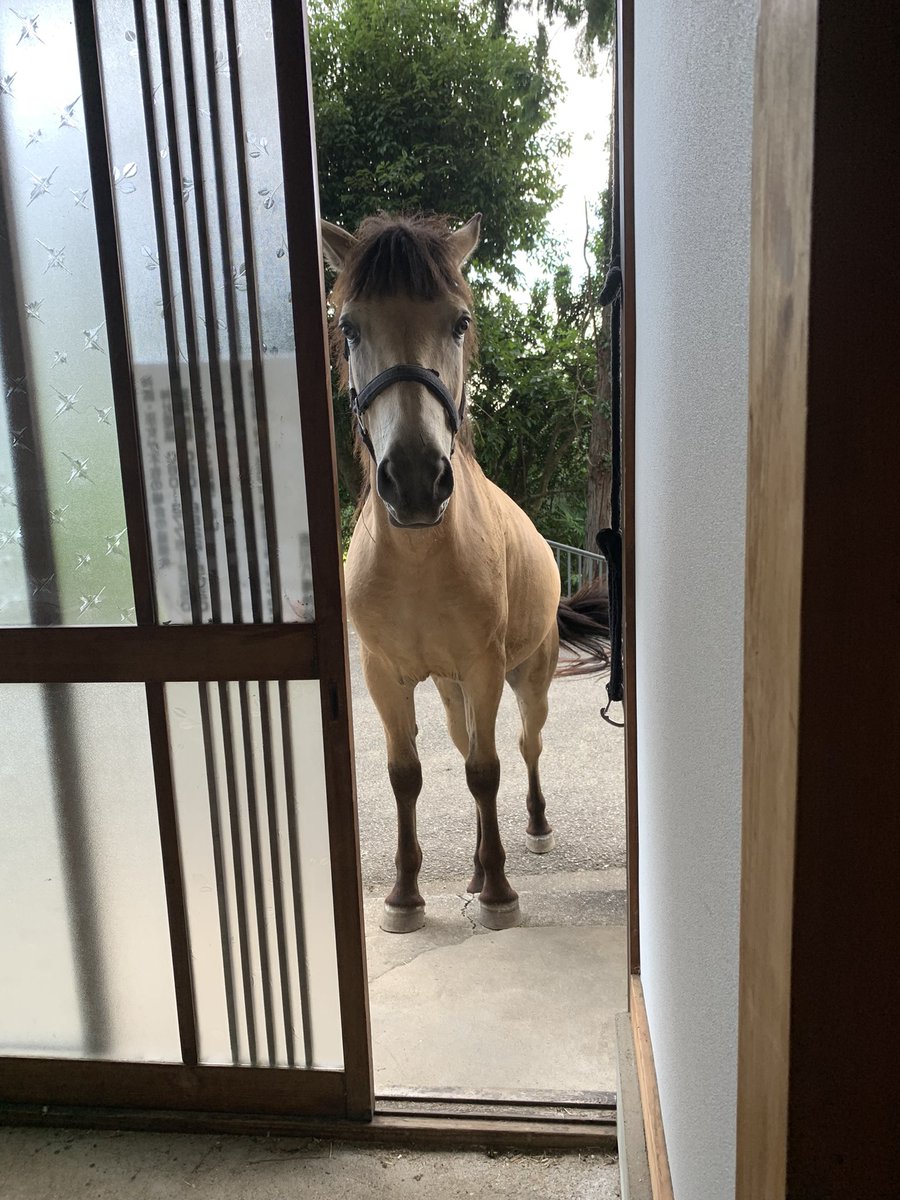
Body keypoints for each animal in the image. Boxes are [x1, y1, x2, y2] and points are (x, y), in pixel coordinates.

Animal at [321, 211, 609, 931]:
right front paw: (405, 894)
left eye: (458, 322)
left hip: (526, 677)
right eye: (350, 326)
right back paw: (476, 868)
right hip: (452, 689)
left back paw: (531, 833)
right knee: (466, 743)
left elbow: (487, 772)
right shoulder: (383, 675)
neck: (422, 564)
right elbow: (409, 773)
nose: (415, 482)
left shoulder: (483, 667)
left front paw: (501, 892)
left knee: (524, 747)